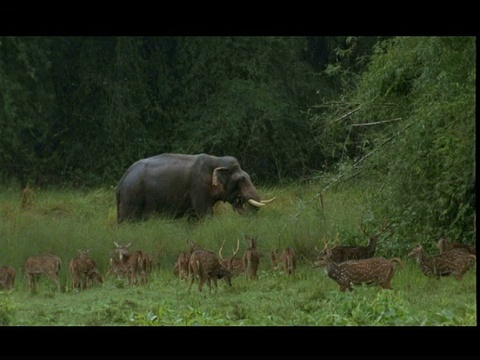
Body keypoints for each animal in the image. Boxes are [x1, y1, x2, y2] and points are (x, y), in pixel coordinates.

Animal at [116, 153, 274, 222]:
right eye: (242, 179)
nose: (240, 201)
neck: (217, 159)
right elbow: (205, 214)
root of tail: (121, 181)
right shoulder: (199, 186)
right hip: (132, 196)